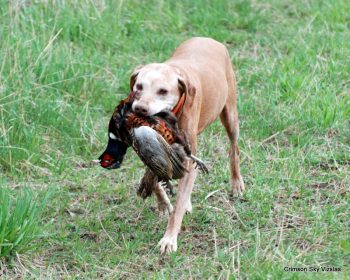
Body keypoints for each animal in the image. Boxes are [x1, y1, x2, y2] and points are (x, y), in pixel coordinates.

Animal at [129, 36, 243, 254]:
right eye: (139, 86)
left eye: (163, 91)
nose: (140, 109)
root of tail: (209, 39)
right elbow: (155, 175)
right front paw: (163, 204)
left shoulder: (187, 155)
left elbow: (179, 202)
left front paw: (169, 239)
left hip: (230, 116)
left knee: (234, 151)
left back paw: (236, 184)